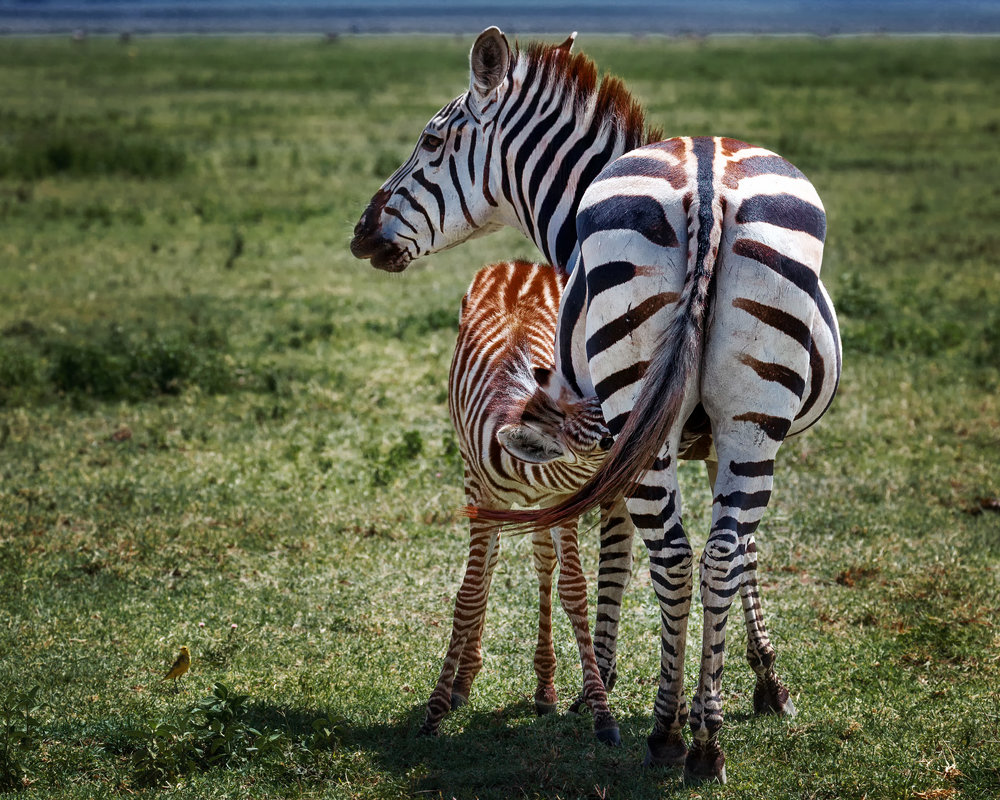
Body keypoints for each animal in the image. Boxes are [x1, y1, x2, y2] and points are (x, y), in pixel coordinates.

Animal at [430, 260, 624, 748]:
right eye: (604, 441)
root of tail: (518, 265)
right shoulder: (482, 495)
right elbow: (470, 591)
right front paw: (436, 706)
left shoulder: (559, 501)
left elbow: (572, 590)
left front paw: (600, 712)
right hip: (471, 479)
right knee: (490, 563)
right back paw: (465, 679)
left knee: (541, 564)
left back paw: (543, 688)